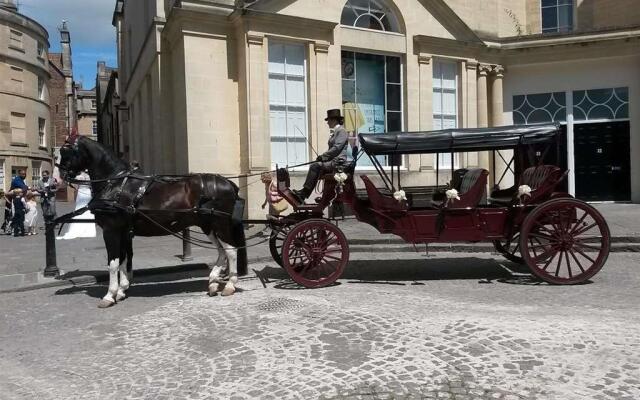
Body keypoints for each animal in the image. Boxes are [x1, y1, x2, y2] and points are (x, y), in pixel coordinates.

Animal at [58, 136, 248, 308]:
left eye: (66, 151)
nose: (60, 177)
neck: (115, 184)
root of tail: (228, 182)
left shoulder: (111, 230)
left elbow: (113, 263)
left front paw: (109, 295)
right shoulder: (123, 231)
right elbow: (124, 259)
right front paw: (122, 290)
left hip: (220, 224)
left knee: (231, 250)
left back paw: (229, 285)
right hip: (208, 225)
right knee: (221, 251)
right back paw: (213, 282)